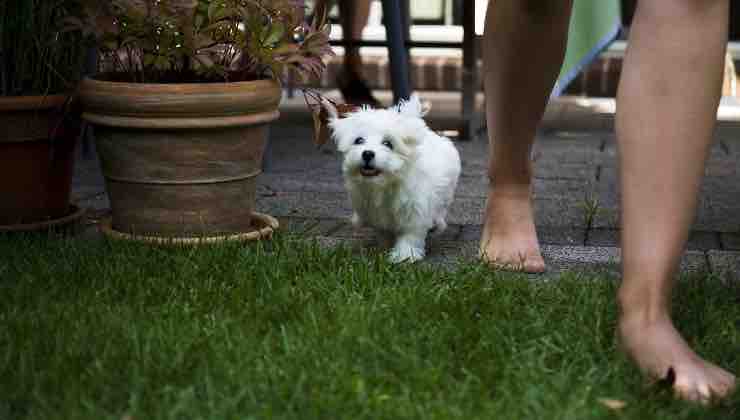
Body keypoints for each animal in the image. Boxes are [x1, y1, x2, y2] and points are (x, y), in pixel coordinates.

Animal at [326, 95, 460, 262]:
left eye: (388, 144)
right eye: (359, 140)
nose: (367, 153)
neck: (386, 183)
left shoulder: (415, 211)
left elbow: (411, 234)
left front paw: (405, 255)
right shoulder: (376, 213)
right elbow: (384, 231)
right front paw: (385, 247)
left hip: (446, 193)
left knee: (440, 209)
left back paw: (437, 224)